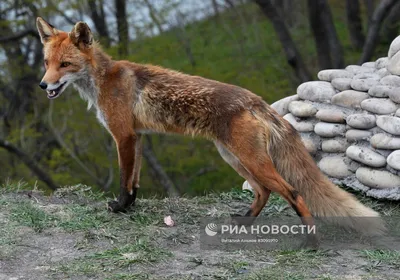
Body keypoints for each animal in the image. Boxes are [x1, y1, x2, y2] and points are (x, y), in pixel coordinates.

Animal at [36, 18, 384, 245]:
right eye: (46, 62)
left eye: (65, 64)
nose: (42, 85)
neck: (103, 79)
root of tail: (256, 100)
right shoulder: (138, 137)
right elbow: (134, 181)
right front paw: (129, 207)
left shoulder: (123, 136)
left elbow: (124, 179)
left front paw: (120, 208)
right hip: (233, 156)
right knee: (264, 191)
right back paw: (245, 221)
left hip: (250, 160)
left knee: (293, 193)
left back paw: (310, 243)